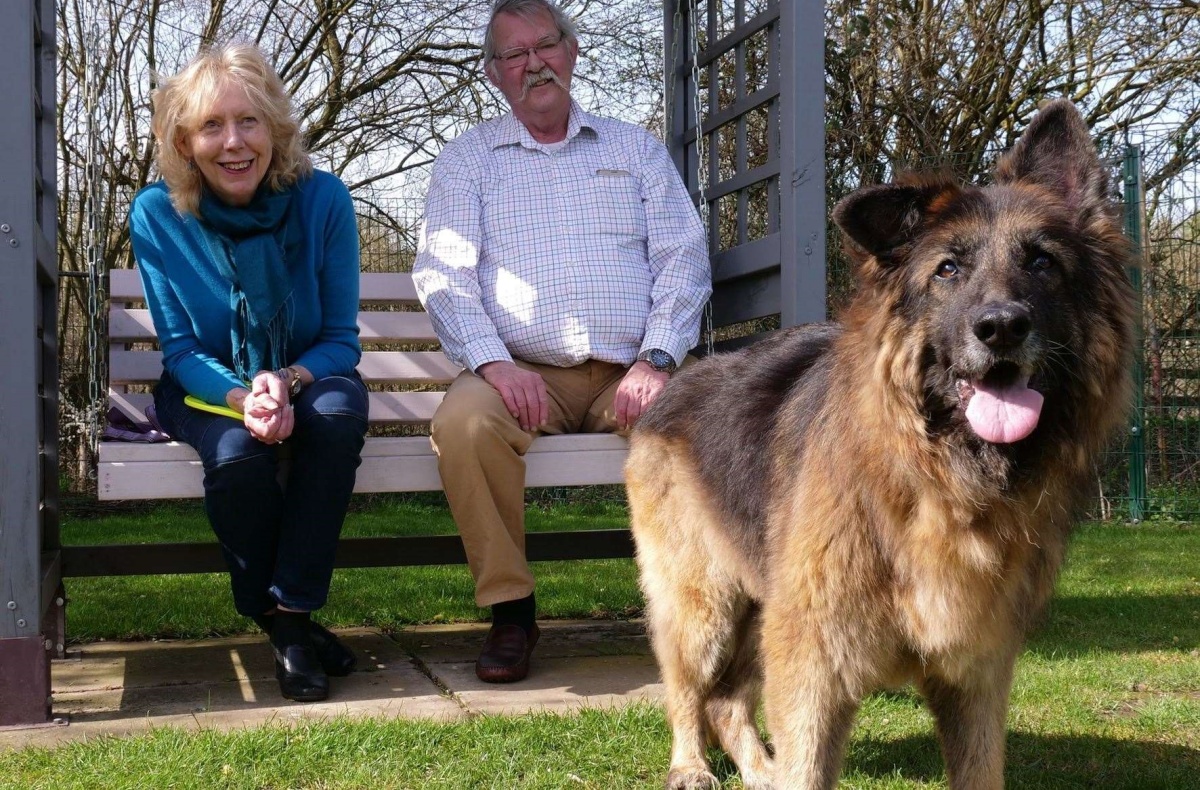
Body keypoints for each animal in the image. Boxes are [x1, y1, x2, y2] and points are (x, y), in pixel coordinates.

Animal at [628, 100, 1132, 787]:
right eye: (948, 269)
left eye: (1042, 263)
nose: (1001, 327)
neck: (937, 480)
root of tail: (676, 381)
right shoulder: (813, 664)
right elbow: (805, 766)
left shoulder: (976, 673)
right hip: (704, 606)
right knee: (687, 690)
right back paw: (690, 767)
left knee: (727, 702)